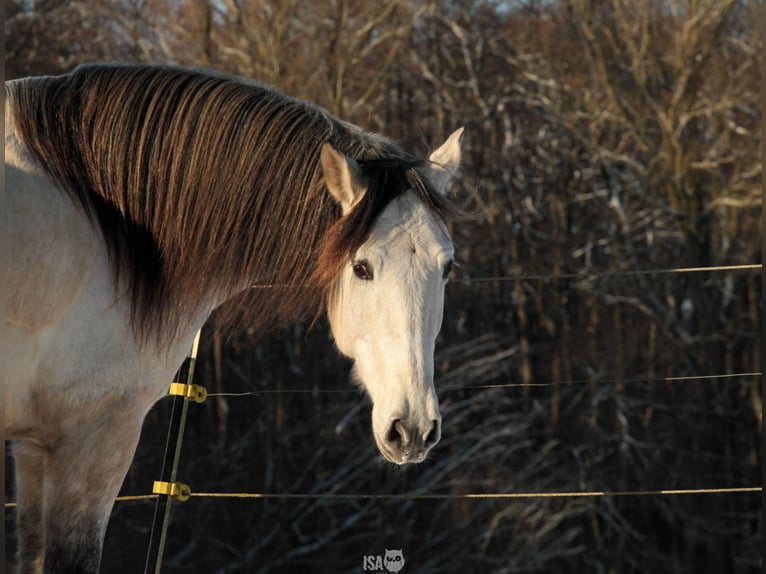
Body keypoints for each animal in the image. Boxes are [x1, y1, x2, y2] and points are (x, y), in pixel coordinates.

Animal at [2, 63, 463, 573]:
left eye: (448, 266)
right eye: (362, 268)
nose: (413, 430)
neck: (110, 229)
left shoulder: (35, 447)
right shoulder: (94, 438)